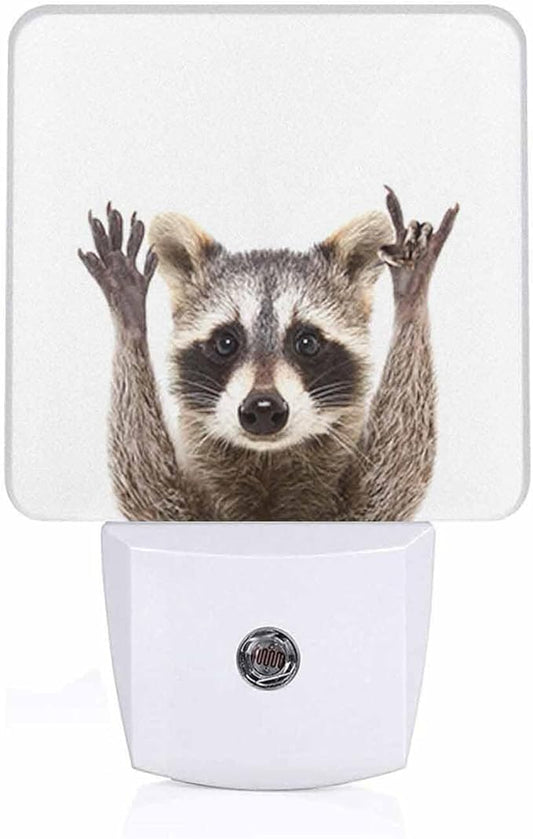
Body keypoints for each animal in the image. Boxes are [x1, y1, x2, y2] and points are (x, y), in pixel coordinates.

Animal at [78, 188, 459, 521]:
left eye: (307, 342)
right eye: (225, 343)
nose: (263, 408)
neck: (267, 463)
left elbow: (397, 471)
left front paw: (411, 295)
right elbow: (145, 486)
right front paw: (129, 318)